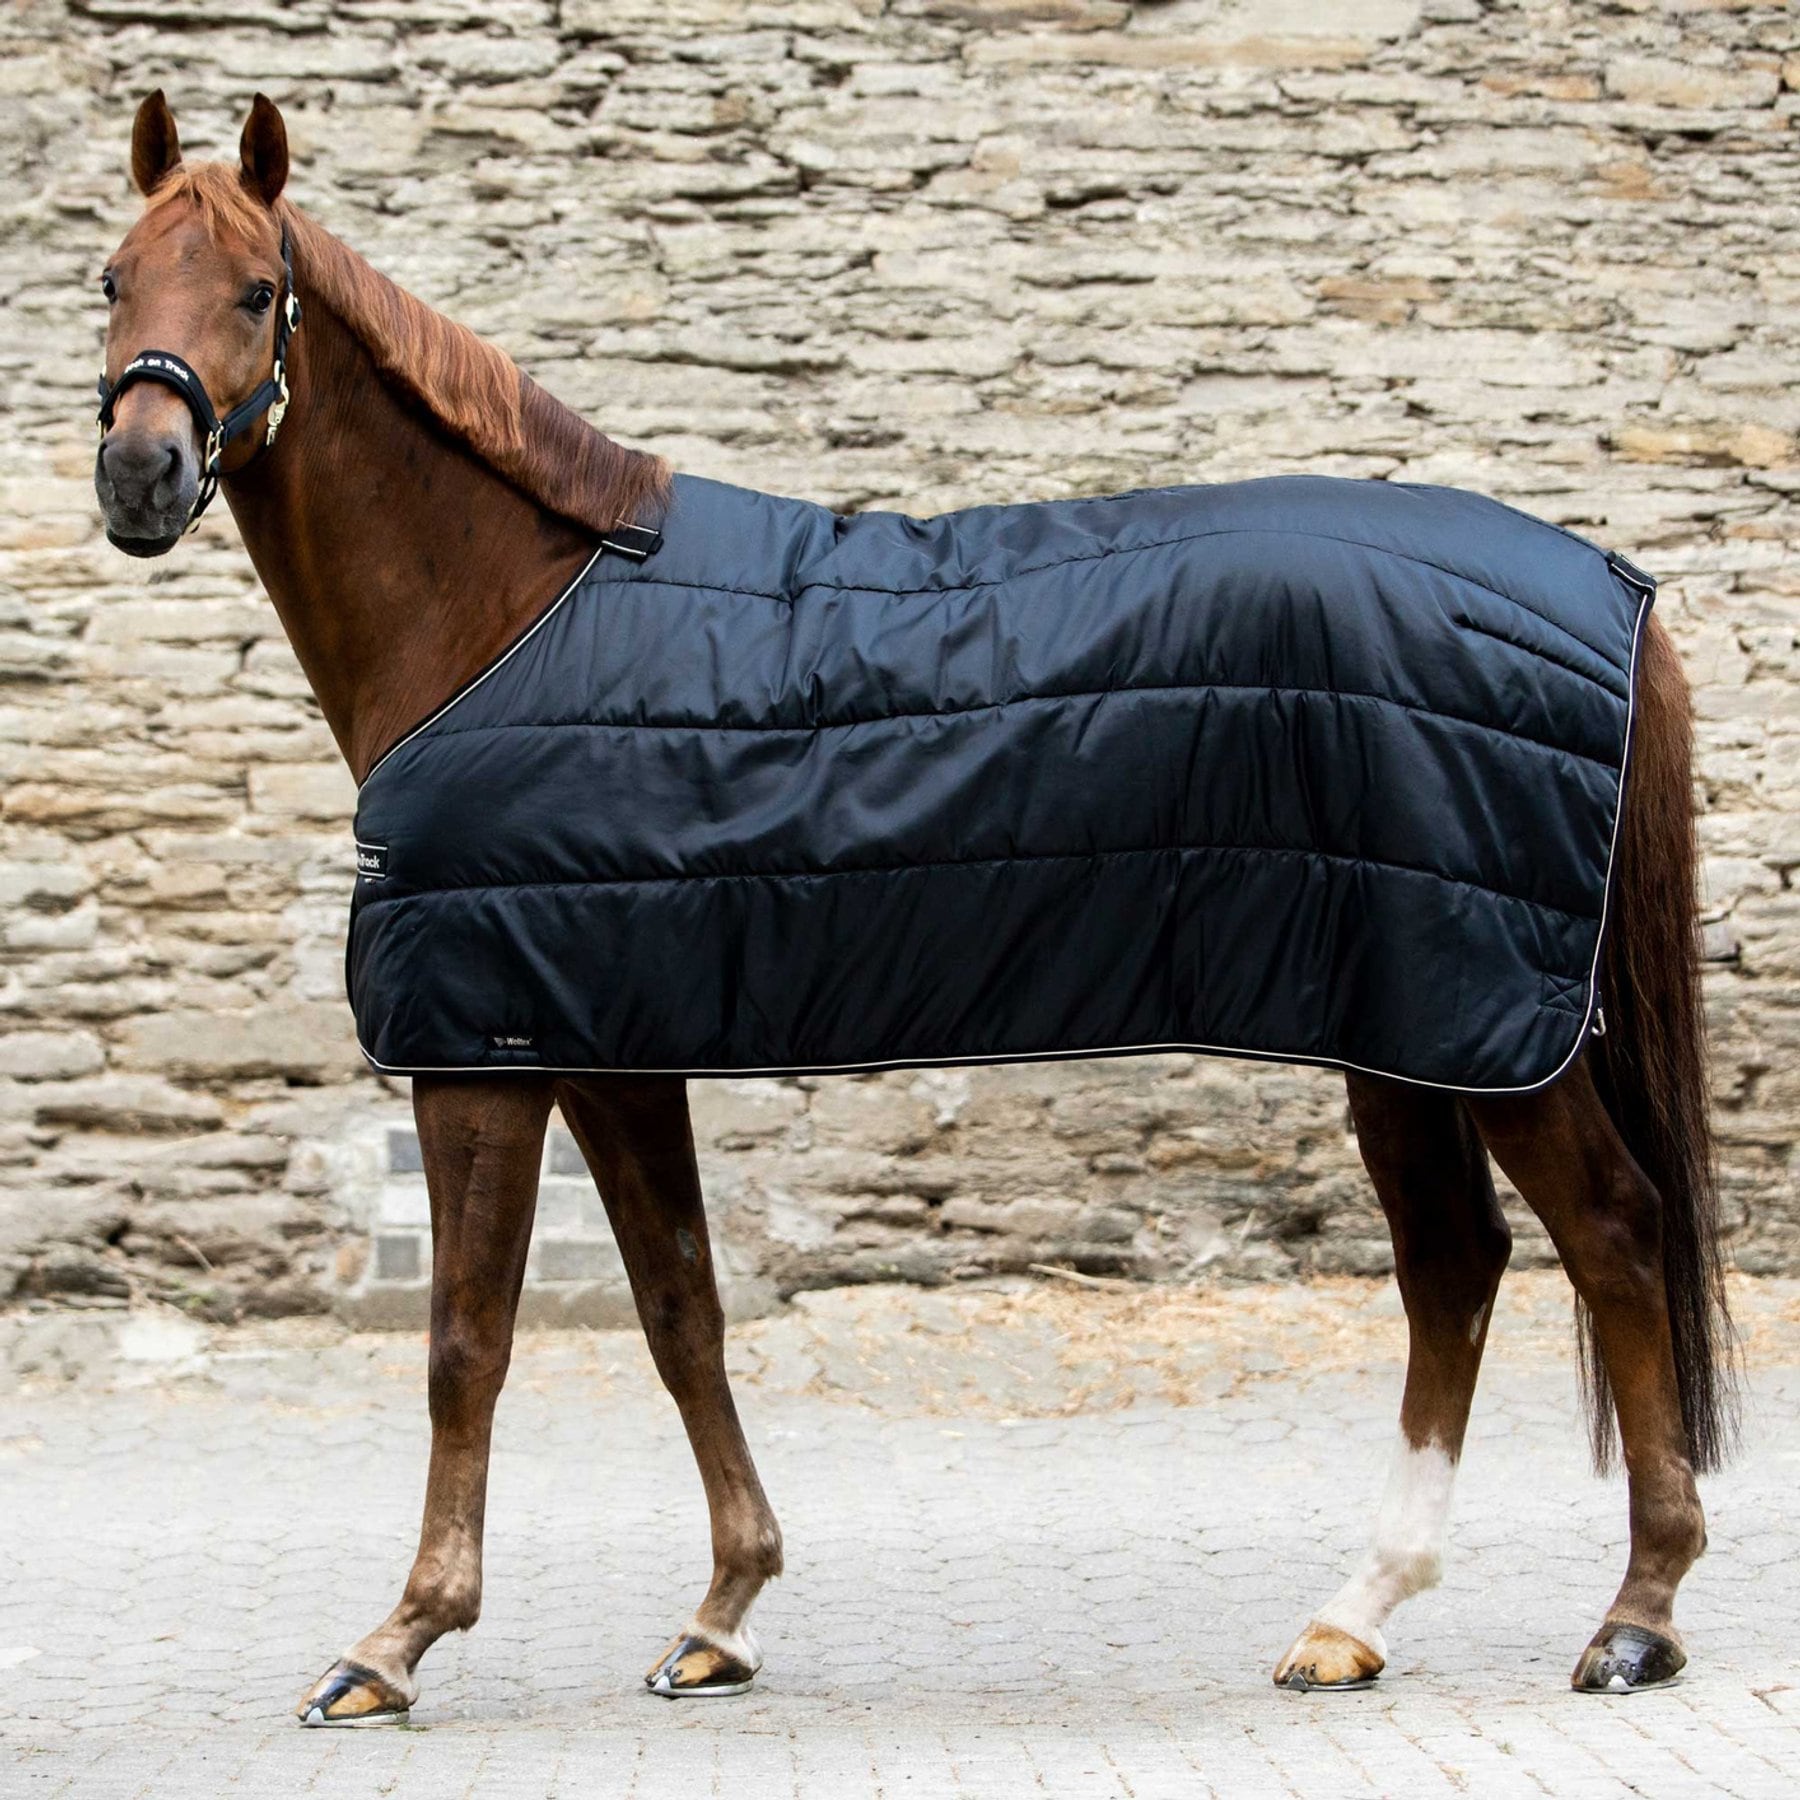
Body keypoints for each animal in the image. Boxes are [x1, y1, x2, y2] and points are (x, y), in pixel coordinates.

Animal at [91, 92, 1734, 1726]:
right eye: (111, 279)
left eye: (257, 292)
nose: (140, 475)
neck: (504, 614)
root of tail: (1612, 587)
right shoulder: (609, 1043)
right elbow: (681, 1312)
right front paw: (725, 1611)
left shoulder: (479, 1049)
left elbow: (463, 1341)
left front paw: (397, 1637)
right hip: (1405, 1024)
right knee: (1456, 1267)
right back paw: (1357, 1615)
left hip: (1489, 1027)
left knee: (1614, 1233)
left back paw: (1639, 1614)